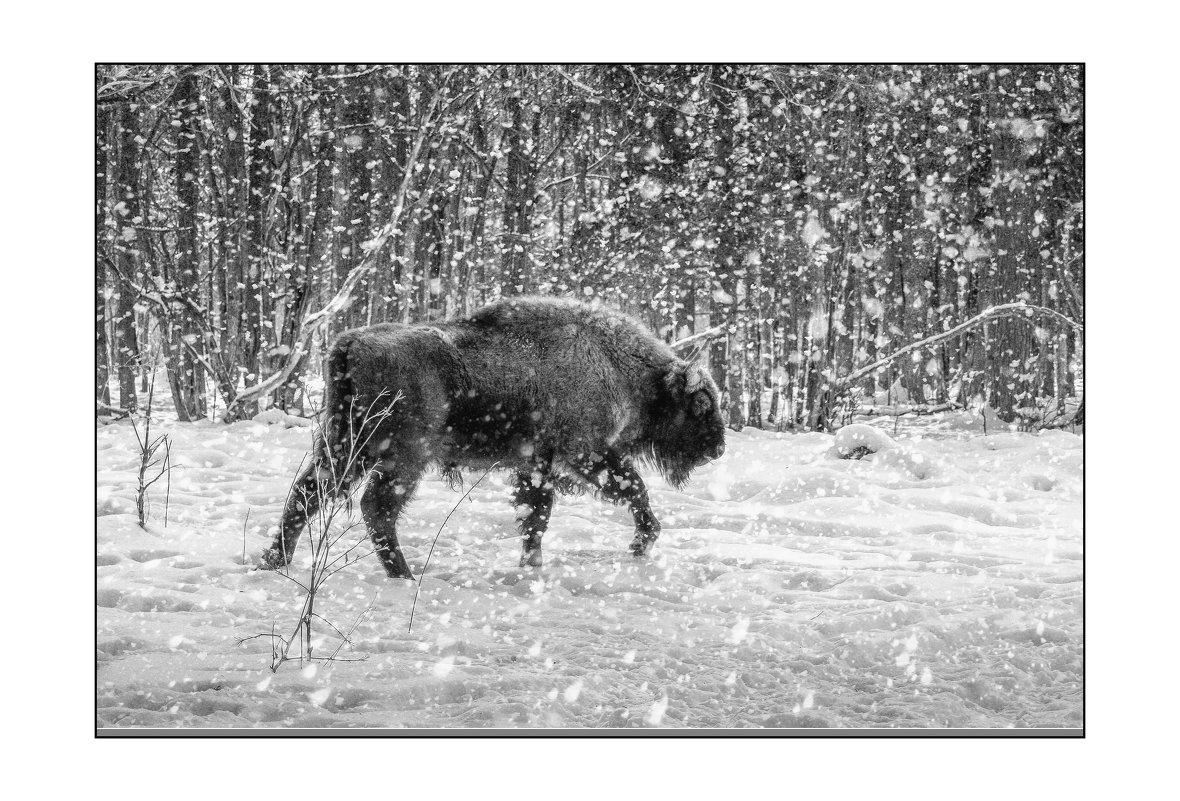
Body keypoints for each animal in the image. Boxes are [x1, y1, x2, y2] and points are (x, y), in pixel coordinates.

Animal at [263, 297, 722, 580]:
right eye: (700, 404)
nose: (718, 448)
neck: (626, 368)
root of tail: (350, 343)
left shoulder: (536, 466)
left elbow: (536, 517)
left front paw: (531, 565)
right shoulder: (586, 454)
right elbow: (634, 490)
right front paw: (641, 543)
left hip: (344, 446)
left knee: (308, 493)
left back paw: (275, 561)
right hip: (400, 458)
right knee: (375, 508)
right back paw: (405, 575)